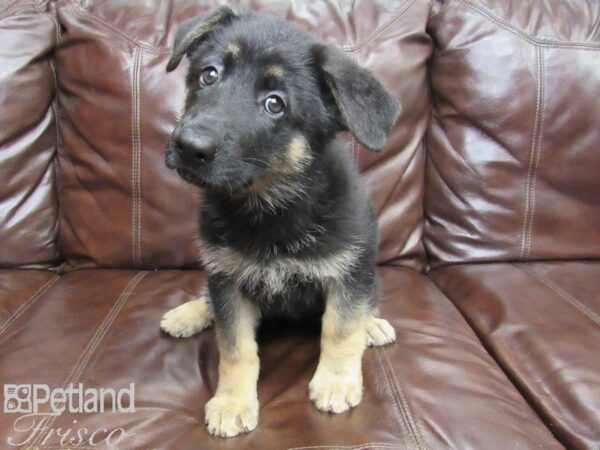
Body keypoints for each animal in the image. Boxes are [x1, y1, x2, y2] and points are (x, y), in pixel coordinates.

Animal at [162, 5, 400, 438]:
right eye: (209, 74)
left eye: (275, 104)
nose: (189, 147)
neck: (271, 206)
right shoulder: (227, 279)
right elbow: (235, 348)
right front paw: (232, 400)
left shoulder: (348, 271)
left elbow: (340, 329)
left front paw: (336, 381)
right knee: (209, 301)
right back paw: (190, 312)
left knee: (365, 304)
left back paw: (372, 325)